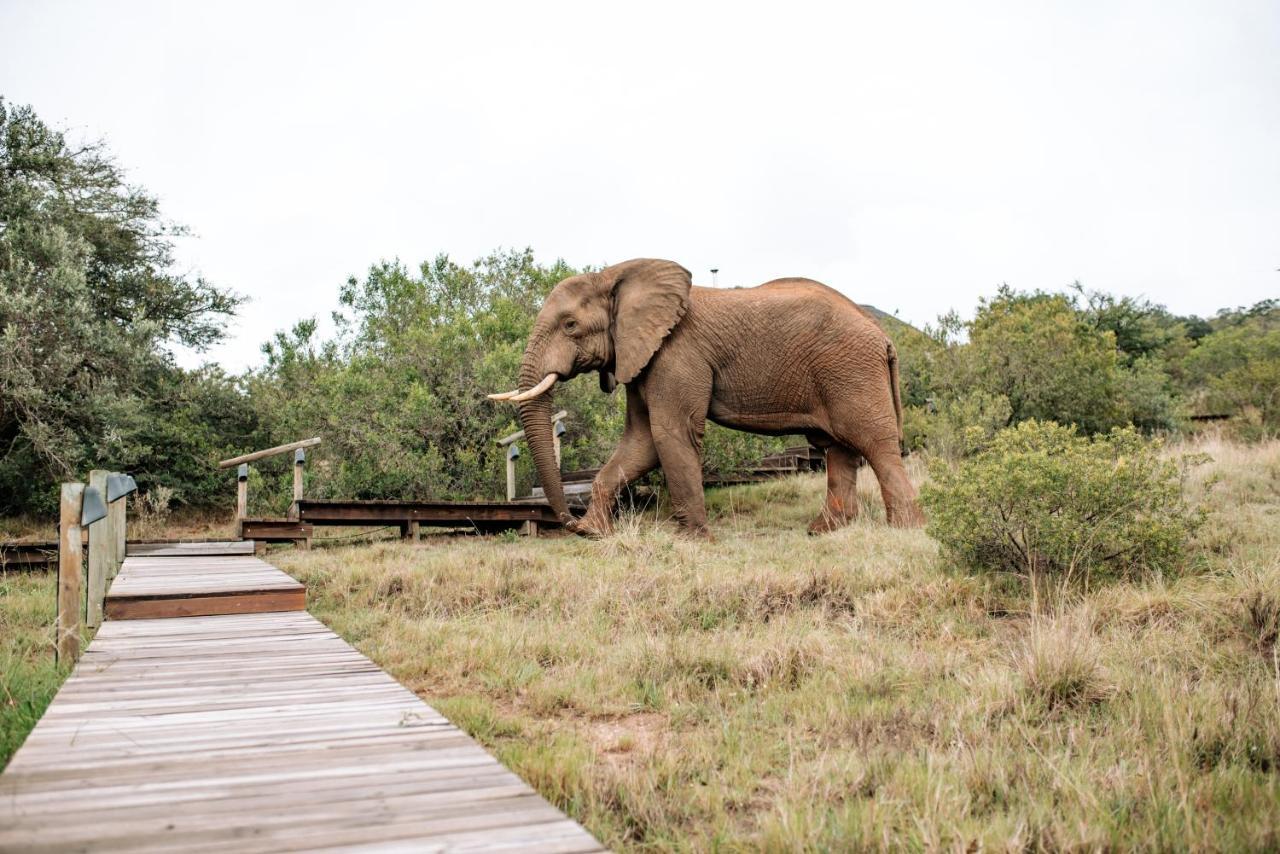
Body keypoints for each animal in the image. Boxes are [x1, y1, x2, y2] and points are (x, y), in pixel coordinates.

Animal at [486, 261, 921, 537]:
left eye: (570, 325)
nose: (570, 523)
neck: (615, 276)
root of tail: (883, 336)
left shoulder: (676, 354)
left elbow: (669, 434)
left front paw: (693, 539)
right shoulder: (644, 358)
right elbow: (640, 442)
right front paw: (596, 534)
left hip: (850, 372)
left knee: (874, 445)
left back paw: (904, 531)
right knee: (839, 449)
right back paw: (822, 532)